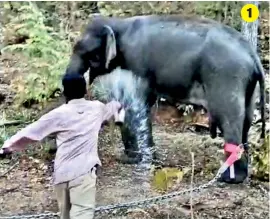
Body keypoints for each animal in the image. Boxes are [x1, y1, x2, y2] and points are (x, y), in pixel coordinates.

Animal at [65, 14, 266, 184]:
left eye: (87, 53)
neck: (118, 24)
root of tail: (253, 55)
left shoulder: (137, 65)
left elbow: (136, 103)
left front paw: (135, 159)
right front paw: (134, 158)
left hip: (226, 76)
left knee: (228, 118)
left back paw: (229, 179)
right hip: (249, 86)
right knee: (246, 120)